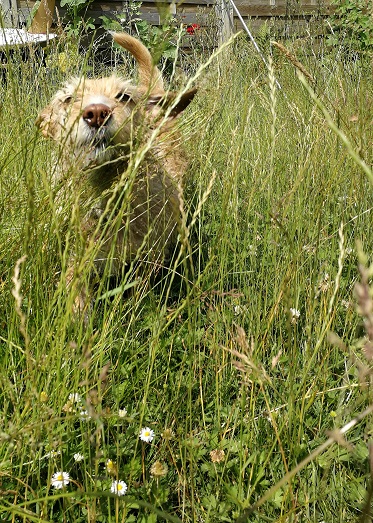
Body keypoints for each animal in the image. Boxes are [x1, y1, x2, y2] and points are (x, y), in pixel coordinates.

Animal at [36, 32, 196, 318]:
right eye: (68, 99)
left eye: (124, 96)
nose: (96, 113)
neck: (104, 190)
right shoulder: (76, 252)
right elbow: (74, 283)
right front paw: (78, 315)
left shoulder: (150, 254)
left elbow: (140, 288)